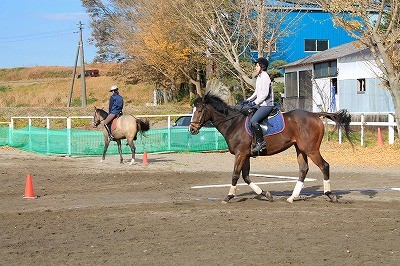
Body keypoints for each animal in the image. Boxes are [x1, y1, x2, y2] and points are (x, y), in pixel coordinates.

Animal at [189, 93, 352, 204]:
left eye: (199, 110)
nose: (192, 129)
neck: (233, 123)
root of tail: (314, 114)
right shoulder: (246, 155)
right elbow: (246, 176)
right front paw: (266, 194)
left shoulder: (240, 154)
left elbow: (235, 174)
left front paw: (228, 196)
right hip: (300, 149)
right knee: (303, 169)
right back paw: (292, 197)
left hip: (311, 149)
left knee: (324, 166)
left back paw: (330, 194)